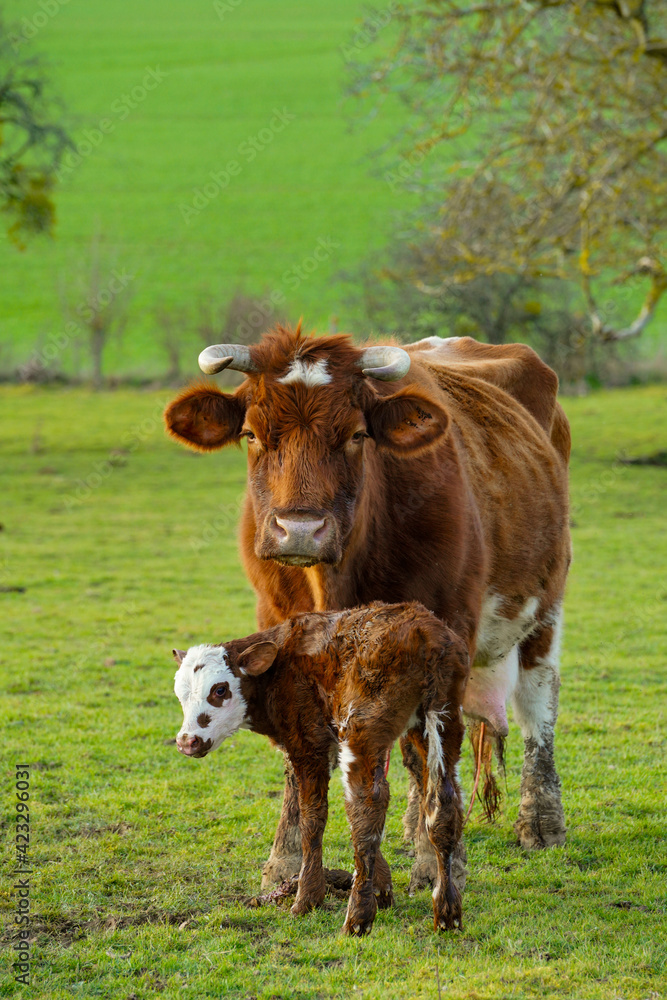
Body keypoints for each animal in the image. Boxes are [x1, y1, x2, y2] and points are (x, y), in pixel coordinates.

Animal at [164, 328, 572, 892]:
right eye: (250, 433)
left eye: (358, 435)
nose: (300, 530)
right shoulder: (275, 623)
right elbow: (299, 753)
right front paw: (285, 863)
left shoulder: (448, 629)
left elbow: (429, 752)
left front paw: (437, 862)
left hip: (545, 605)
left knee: (537, 706)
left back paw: (540, 821)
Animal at [172, 600, 470, 936]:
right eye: (180, 694)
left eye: (220, 690)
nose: (187, 741)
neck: (279, 667)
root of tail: (424, 631)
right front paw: (382, 888)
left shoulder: (307, 743)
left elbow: (312, 817)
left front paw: (308, 897)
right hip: (442, 719)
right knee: (443, 803)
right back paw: (447, 913)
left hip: (362, 729)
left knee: (366, 808)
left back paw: (357, 917)